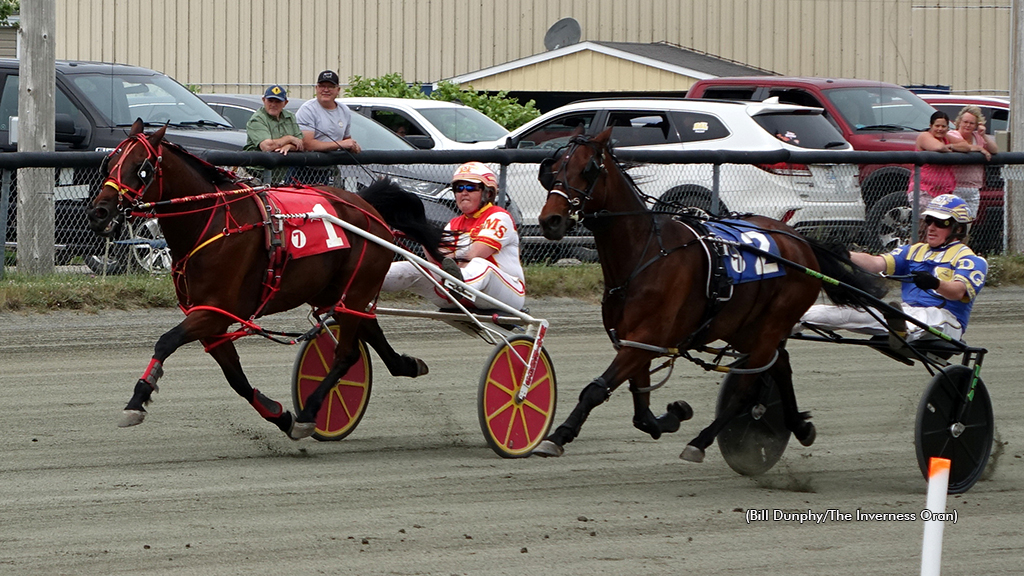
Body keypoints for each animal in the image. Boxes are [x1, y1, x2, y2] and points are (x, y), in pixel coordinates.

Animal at [86, 118, 442, 436]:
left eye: (142, 167)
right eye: (110, 163)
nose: (99, 212)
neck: (213, 223)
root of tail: (367, 206)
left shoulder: (213, 313)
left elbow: (166, 341)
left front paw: (138, 398)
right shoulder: (211, 320)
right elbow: (237, 379)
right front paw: (280, 416)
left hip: (356, 288)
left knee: (346, 354)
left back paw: (310, 411)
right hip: (334, 292)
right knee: (368, 335)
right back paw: (407, 365)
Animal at [532, 127, 884, 459]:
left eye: (587, 169)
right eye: (554, 167)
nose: (551, 220)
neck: (645, 254)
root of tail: (799, 242)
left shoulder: (647, 336)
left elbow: (597, 390)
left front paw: (558, 435)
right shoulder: (635, 341)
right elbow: (642, 413)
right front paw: (673, 415)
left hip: (774, 322)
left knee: (747, 387)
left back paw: (701, 441)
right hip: (743, 326)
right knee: (780, 363)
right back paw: (799, 425)